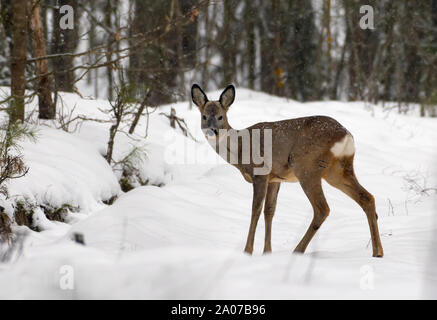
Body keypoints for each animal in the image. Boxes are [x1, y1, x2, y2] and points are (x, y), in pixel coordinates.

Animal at [190, 84, 382, 256]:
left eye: (221, 117)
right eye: (204, 116)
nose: (212, 131)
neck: (240, 150)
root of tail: (346, 136)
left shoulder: (260, 172)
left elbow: (256, 209)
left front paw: (248, 251)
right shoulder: (275, 178)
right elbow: (270, 211)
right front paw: (267, 252)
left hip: (306, 167)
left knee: (322, 208)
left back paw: (297, 250)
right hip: (338, 170)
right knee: (367, 198)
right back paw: (378, 252)